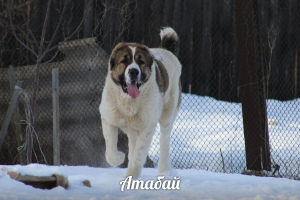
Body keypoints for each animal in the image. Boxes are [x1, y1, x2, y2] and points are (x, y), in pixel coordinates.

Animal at [99, 26, 182, 178]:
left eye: (141, 62)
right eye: (124, 61)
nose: (133, 71)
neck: (128, 102)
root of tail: (166, 50)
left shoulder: (147, 127)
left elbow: (138, 156)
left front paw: (131, 176)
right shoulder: (108, 119)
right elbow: (111, 152)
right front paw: (120, 157)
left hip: (167, 115)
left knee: (164, 139)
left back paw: (164, 170)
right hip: (133, 129)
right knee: (132, 142)